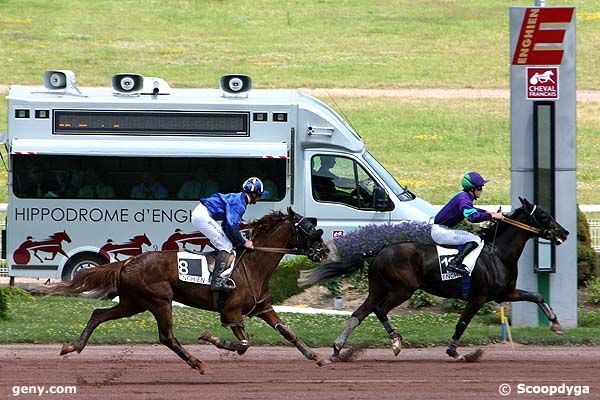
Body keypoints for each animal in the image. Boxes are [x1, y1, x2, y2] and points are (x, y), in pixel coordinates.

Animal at [47, 208, 330, 374]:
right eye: (309, 228)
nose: (325, 250)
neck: (253, 264)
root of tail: (128, 262)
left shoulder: (263, 307)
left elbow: (288, 332)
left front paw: (316, 357)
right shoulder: (231, 312)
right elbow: (244, 343)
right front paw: (211, 338)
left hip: (133, 303)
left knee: (98, 314)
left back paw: (72, 346)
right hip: (160, 301)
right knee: (167, 337)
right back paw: (198, 363)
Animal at [302, 198, 568, 360]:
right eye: (544, 215)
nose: (564, 233)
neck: (497, 254)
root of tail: (380, 250)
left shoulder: (504, 293)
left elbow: (536, 295)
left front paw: (555, 323)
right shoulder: (478, 297)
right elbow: (462, 323)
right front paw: (454, 351)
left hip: (377, 288)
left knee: (359, 313)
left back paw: (338, 348)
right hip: (402, 289)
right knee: (380, 309)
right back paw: (395, 342)